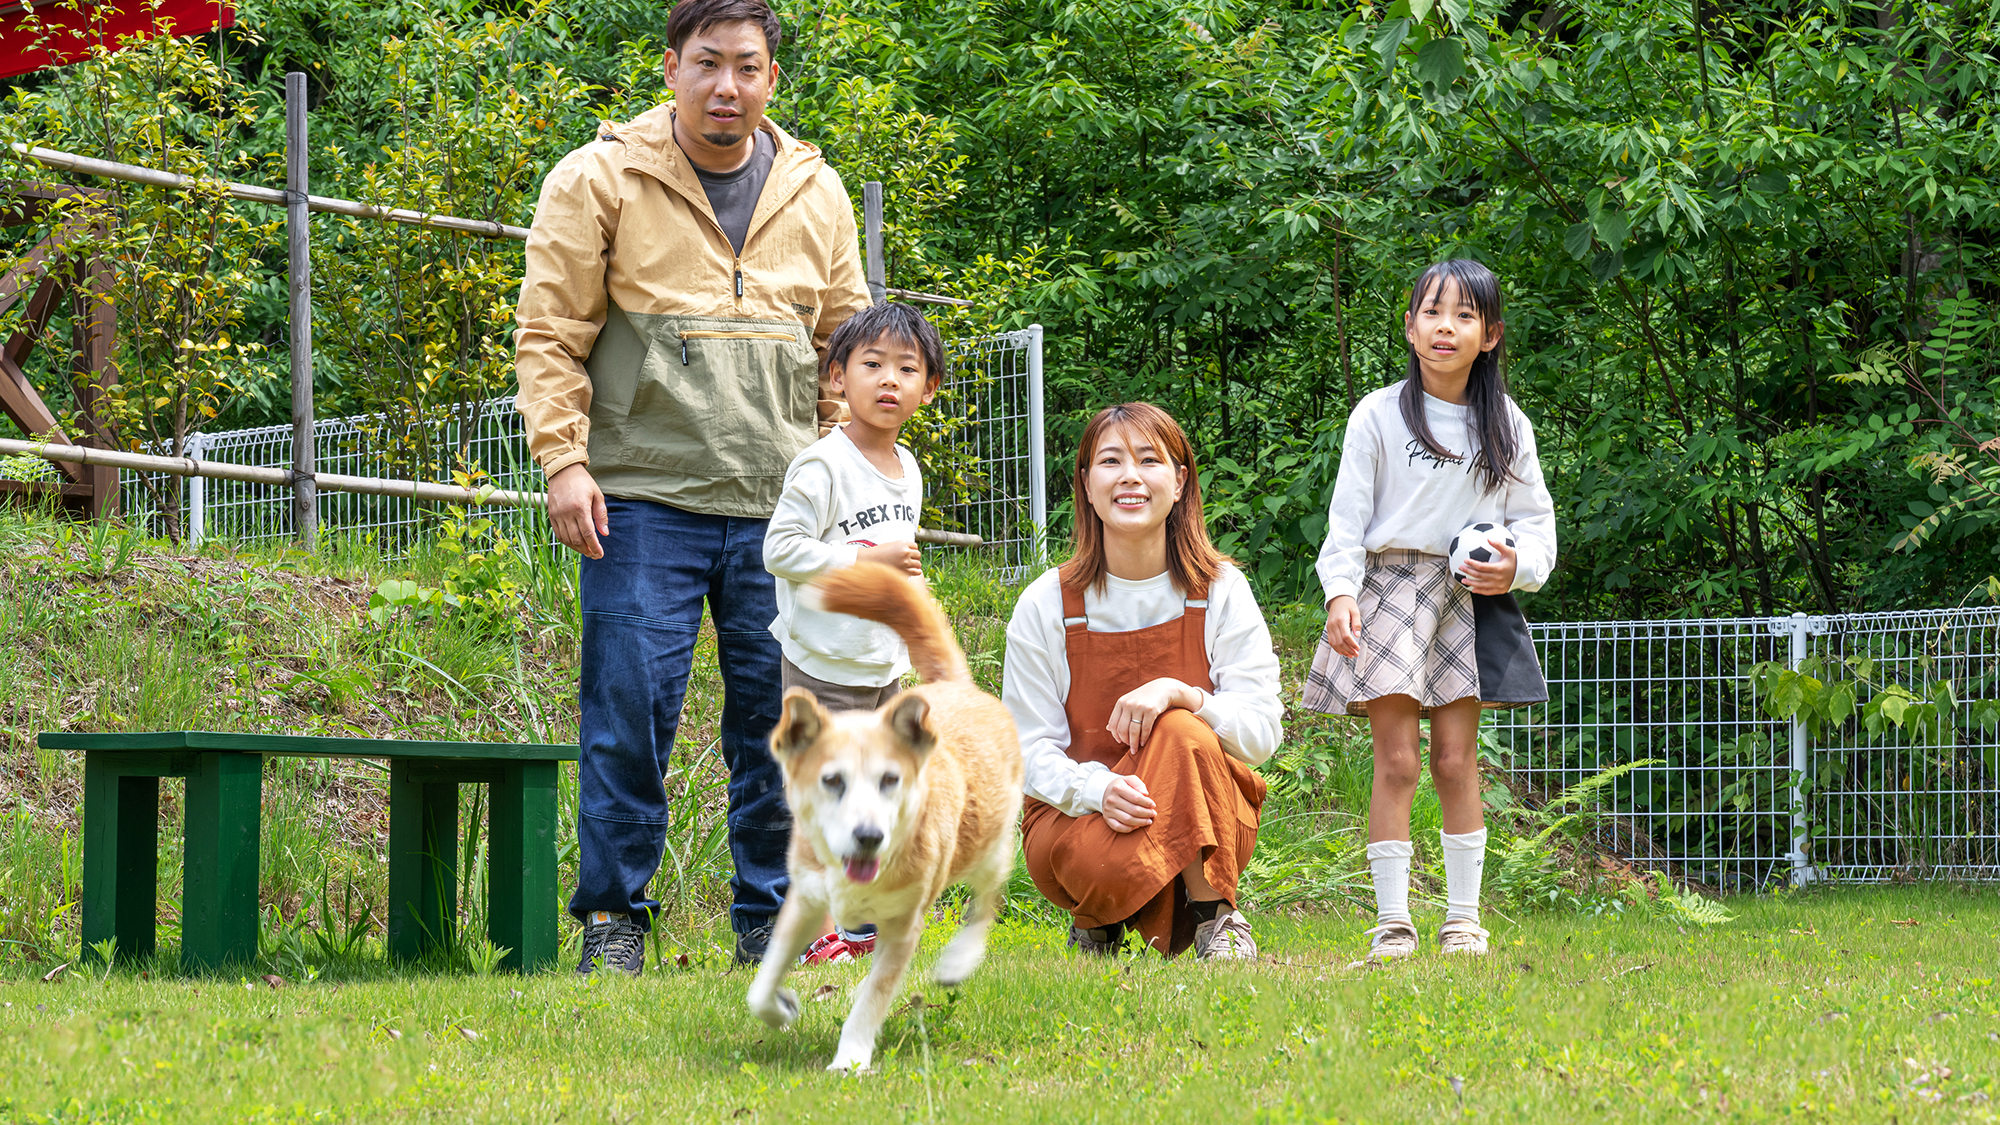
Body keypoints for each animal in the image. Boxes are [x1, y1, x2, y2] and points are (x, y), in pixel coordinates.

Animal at [752, 560, 1032, 1064]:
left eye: (890, 780)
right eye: (832, 781)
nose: (868, 837)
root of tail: (955, 687)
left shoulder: (903, 928)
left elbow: (874, 997)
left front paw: (850, 1059)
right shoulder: (804, 902)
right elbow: (761, 985)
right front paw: (780, 1009)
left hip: (989, 847)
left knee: (988, 901)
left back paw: (960, 959)